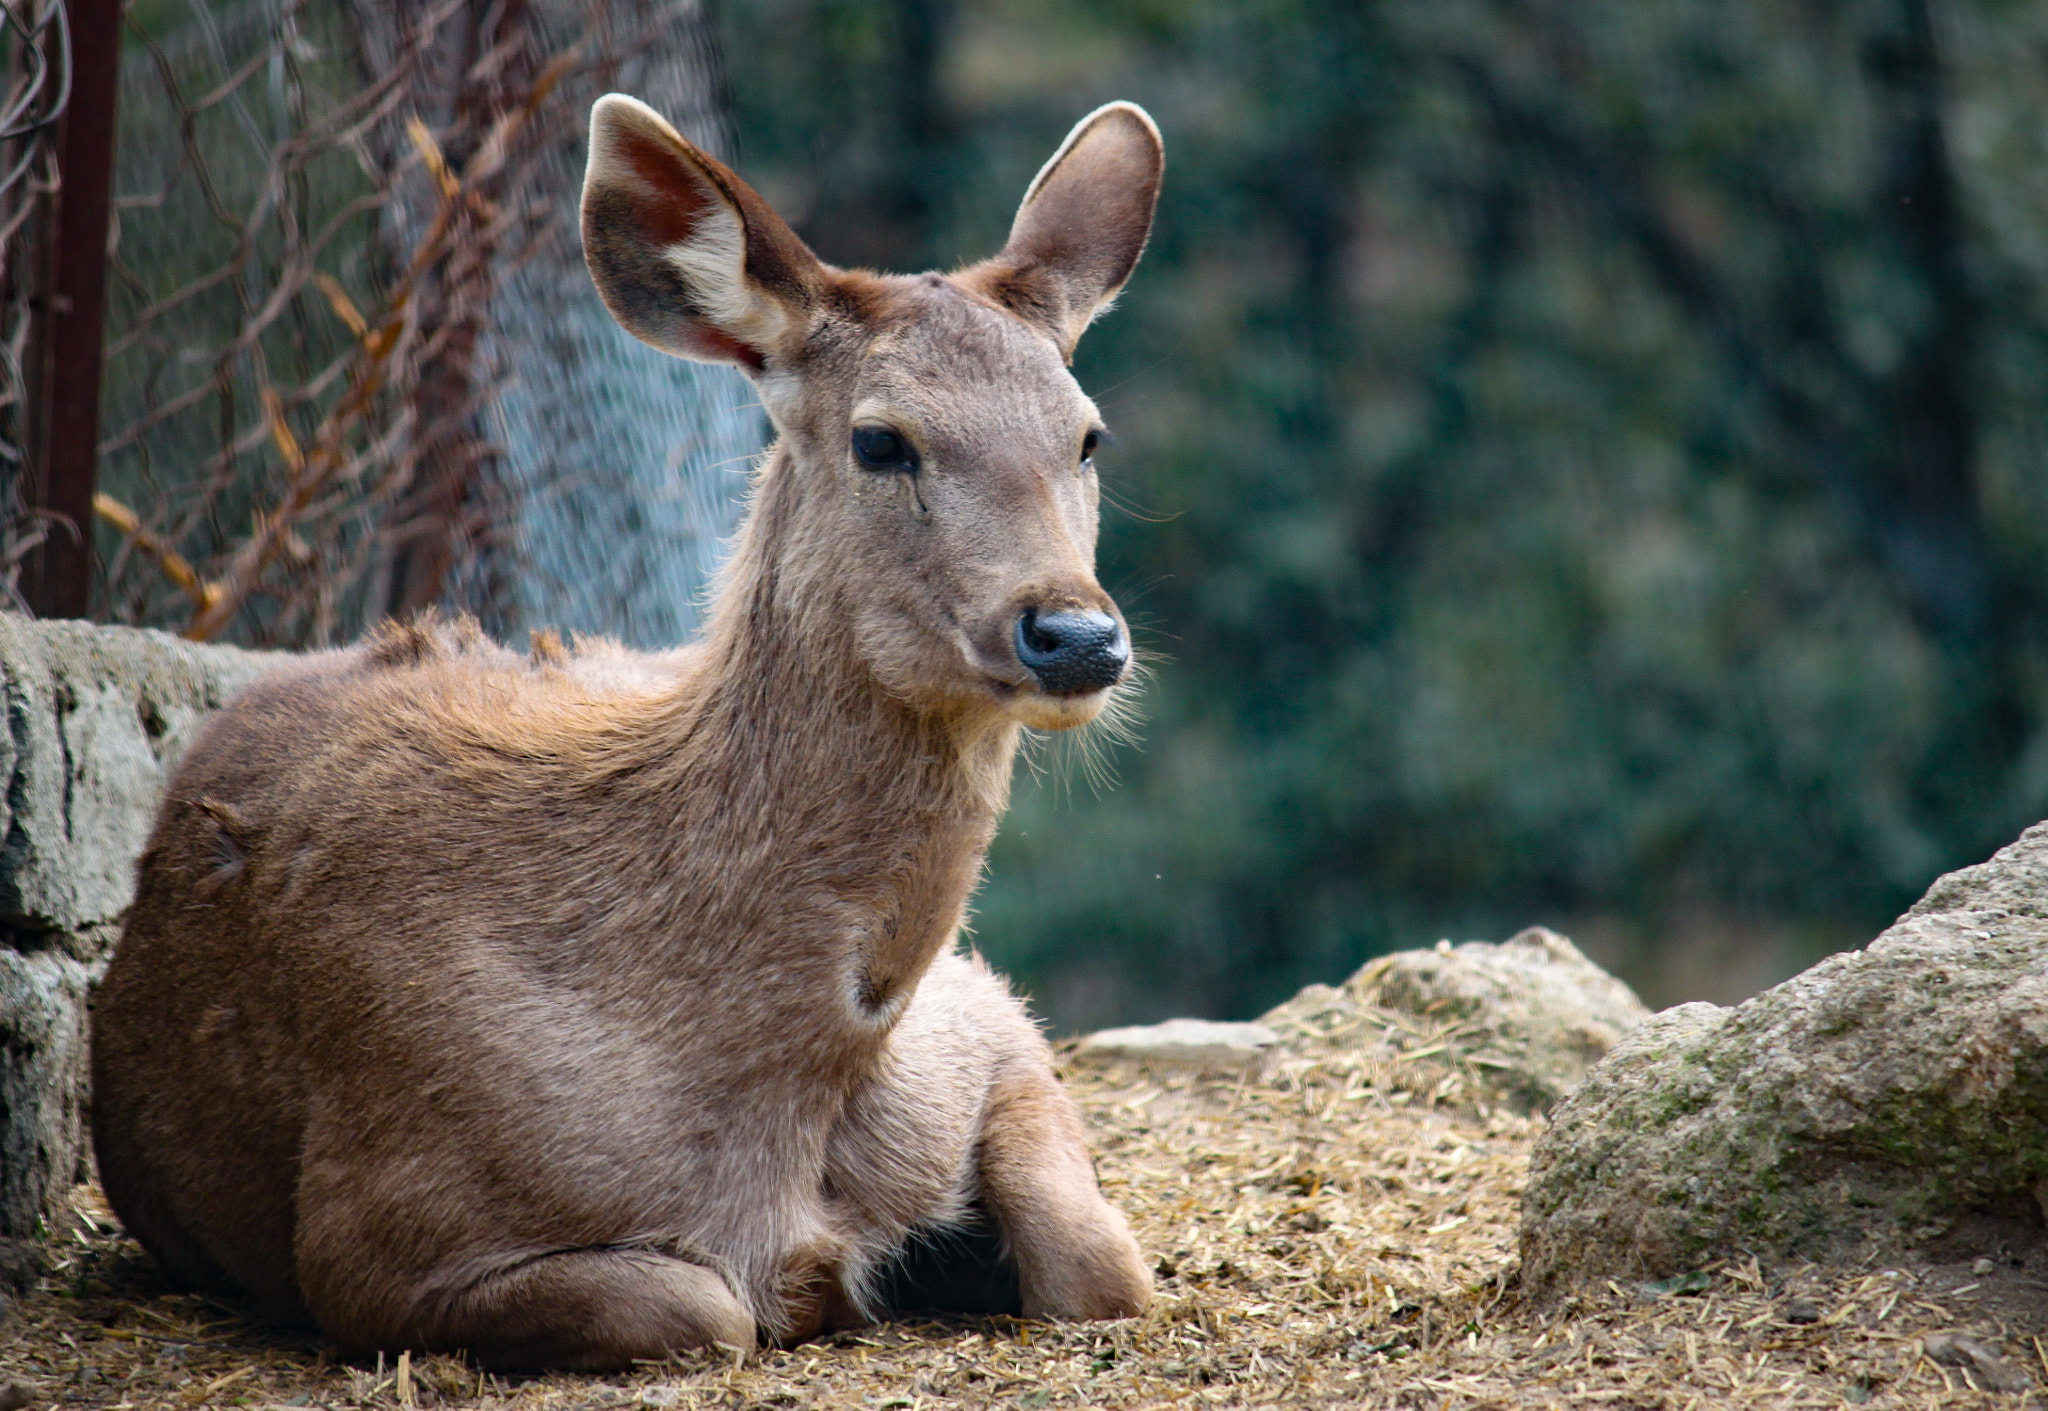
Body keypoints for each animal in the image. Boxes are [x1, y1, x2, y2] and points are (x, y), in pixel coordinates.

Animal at [89, 94, 1163, 1370]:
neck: (798, 1077)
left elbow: (1104, 1265)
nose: (1073, 634)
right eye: (881, 439)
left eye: (1088, 435)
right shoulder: (380, 1233)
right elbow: (708, 1308)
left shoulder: (987, 1017)